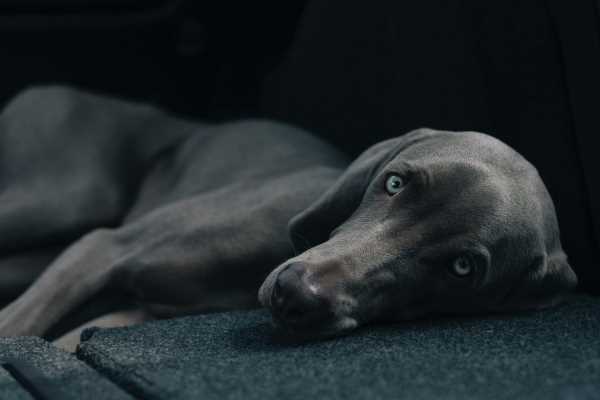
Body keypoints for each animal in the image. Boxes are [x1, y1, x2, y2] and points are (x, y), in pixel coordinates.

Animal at [0, 85, 576, 340]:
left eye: (463, 268)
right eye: (394, 182)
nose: (294, 293)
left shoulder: (136, 313)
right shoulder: (102, 247)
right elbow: (16, 329)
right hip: (59, 197)